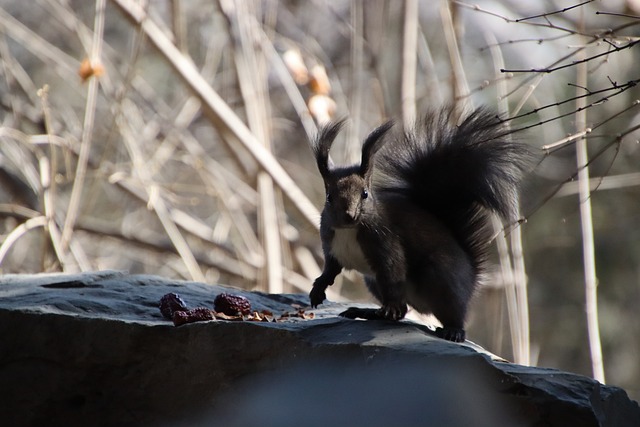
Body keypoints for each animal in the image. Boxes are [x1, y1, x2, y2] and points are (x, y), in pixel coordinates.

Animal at [308, 108, 532, 344]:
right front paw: (318, 288)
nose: (349, 216)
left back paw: (452, 330)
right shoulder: (331, 246)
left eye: (365, 194)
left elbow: (394, 270)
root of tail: (471, 276)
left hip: (440, 278)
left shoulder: (386, 242)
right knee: (401, 311)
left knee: (450, 312)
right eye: (329, 197)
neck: (349, 231)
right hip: (373, 281)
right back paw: (369, 312)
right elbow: (331, 269)